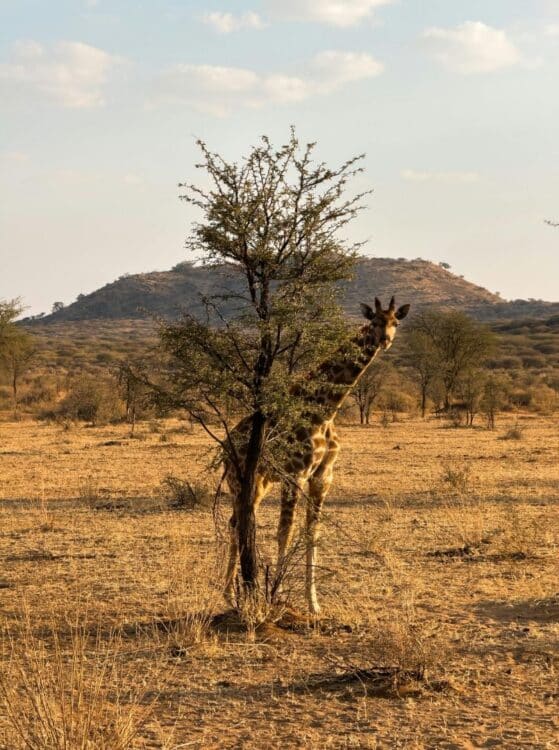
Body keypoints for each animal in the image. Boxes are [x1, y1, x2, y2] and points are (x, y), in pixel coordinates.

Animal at [223, 296, 410, 614]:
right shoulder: (295, 475)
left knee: (238, 522)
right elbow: (284, 531)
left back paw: (230, 592)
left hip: (260, 483)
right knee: (236, 523)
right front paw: (276, 593)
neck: (326, 411)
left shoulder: (322, 478)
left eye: (396, 322)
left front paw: (313, 602)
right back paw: (227, 593)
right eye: (374, 321)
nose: (385, 340)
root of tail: (226, 443)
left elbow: (313, 533)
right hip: (239, 479)